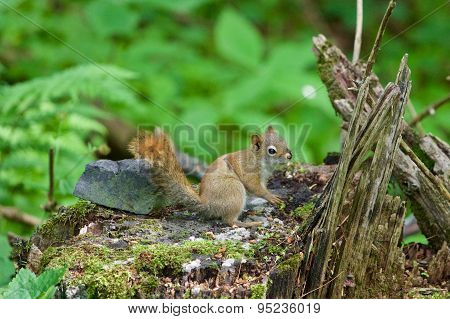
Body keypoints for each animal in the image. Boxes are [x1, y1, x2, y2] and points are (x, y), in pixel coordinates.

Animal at [128, 125, 294, 228]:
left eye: (284, 141)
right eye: (271, 151)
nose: (289, 156)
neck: (258, 159)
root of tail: (207, 204)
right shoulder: (249, 174)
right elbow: (256, 188)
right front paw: (271, 197)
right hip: (234, 189)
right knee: (229, 221)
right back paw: (248, 224)